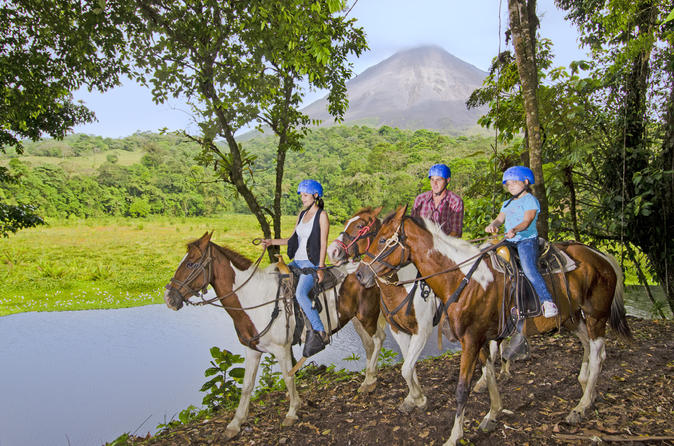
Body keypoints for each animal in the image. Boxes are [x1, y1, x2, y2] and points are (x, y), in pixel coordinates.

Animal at [162, 232, 384, 440]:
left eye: (191, 263)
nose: (169, 298)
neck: (254, 299)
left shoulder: (281, 349)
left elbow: (288, 377)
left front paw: (292, 412)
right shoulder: (251, 350)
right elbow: (247, 386)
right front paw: (235, 424)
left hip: (368, 317)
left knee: (378, 340)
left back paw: (368, 379)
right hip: (356, 320)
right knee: (369, 346)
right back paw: (369, 381)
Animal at [326, 207, 494, 412]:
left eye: (359, 226)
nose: (332, 251)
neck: (401, 287)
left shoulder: (422, 331)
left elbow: (406, 367)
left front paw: (419, 399)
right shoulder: (399, 330)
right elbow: (408, 366)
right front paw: (413, 397)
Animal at [354, 206, 632, 446]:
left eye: (382, 240)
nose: (360, 274)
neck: (462, 277)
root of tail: (602, 256)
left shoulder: (469, 339)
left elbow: (462, 388)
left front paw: (454, 436)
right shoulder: (480, 338)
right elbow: (488, 375)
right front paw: (492, 414)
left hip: (596, 316)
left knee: (597, 353)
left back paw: (581, 407)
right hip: (573, 317)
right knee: (593, 351)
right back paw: (587, 392)